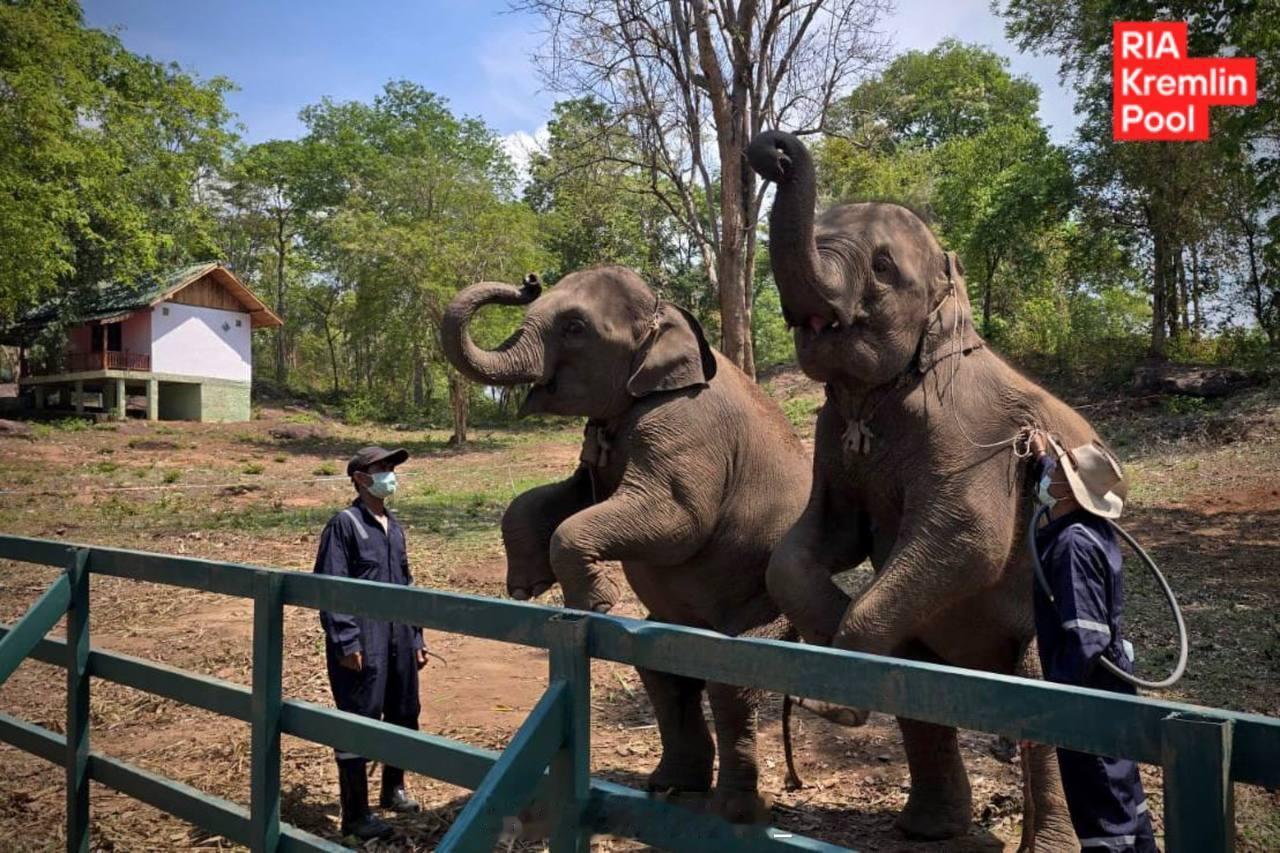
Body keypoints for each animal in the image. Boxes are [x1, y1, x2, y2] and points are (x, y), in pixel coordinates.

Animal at [440, 266, 812, 821]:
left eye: (574, 328)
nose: (528, 279)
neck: (669, 317)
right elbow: (561, 496)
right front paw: (525, 588)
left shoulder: (683, 426)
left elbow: (677, 519)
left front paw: (592, 603)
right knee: (662, 670)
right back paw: (671, 785)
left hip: (768, 604)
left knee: (731, 681)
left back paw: (735, 811)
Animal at [747, 129, 1113, 849]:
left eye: (884, 267)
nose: (772, 149)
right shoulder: (830, 438)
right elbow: (817, 544)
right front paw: (830, 658)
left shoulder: (971, 434)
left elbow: (967, 536)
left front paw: (832, 702)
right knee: (919, 690)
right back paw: (928, 828)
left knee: (1046, 707)